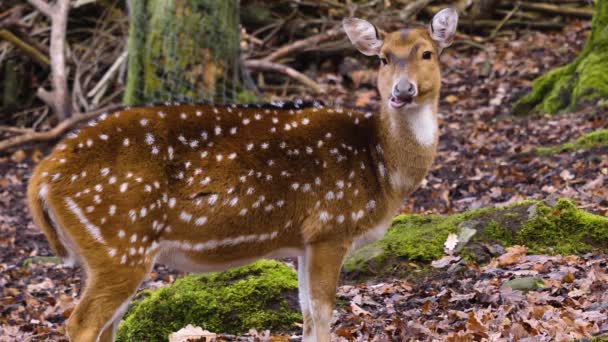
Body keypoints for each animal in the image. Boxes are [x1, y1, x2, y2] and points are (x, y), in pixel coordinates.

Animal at [26, 6, 458, 340]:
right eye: (383, 58)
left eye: (427, 53)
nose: (402, 91)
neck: (382, 168)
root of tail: (43, 176)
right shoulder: (331, 227)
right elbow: (322, 318)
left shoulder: (305, 242)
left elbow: (307, 317)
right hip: (120, 243)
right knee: (81, 323)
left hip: (106, 251)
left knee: (105, 325)